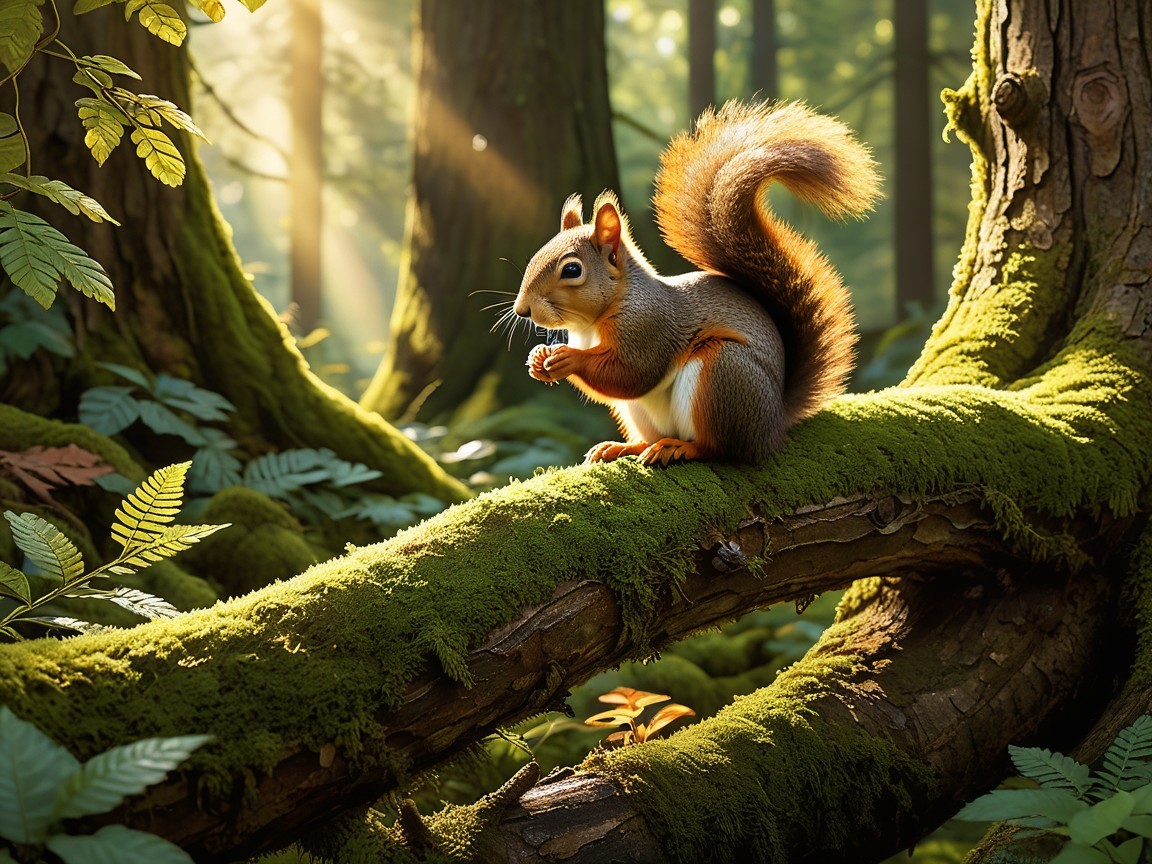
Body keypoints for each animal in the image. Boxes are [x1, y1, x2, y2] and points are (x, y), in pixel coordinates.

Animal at [513, 100, 881, 466]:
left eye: (572, 270)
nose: (522, 310)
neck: (594, 320)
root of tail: (774, 422)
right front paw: (538, 358)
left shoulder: (649, 327)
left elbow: (631, 374)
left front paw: (567, 359)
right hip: (643, 413)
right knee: (653, 436)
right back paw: (622, 447)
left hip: (723, 375)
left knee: (721, 448)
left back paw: (680, 448)